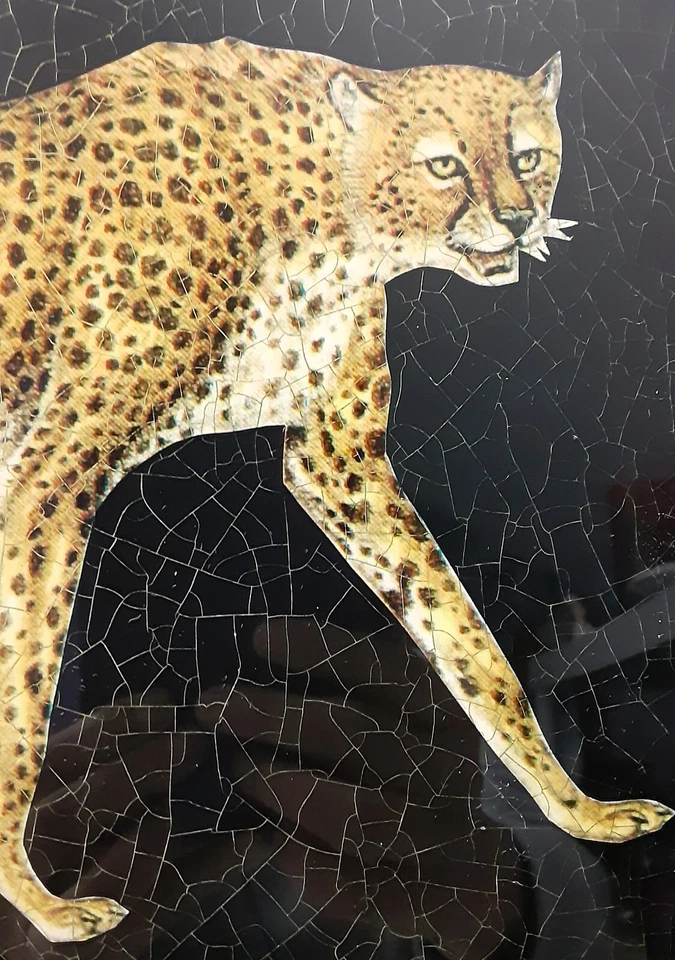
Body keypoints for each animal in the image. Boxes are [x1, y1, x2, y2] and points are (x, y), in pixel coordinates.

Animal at [0, 36, 670, 942]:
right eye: (443, 163)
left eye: (526, 156)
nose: (519, 220)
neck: (322, 198)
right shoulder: (54, 469)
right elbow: (23, 700)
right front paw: (35, 900)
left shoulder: (340, 462)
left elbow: (475, 651)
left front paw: (579, 811)